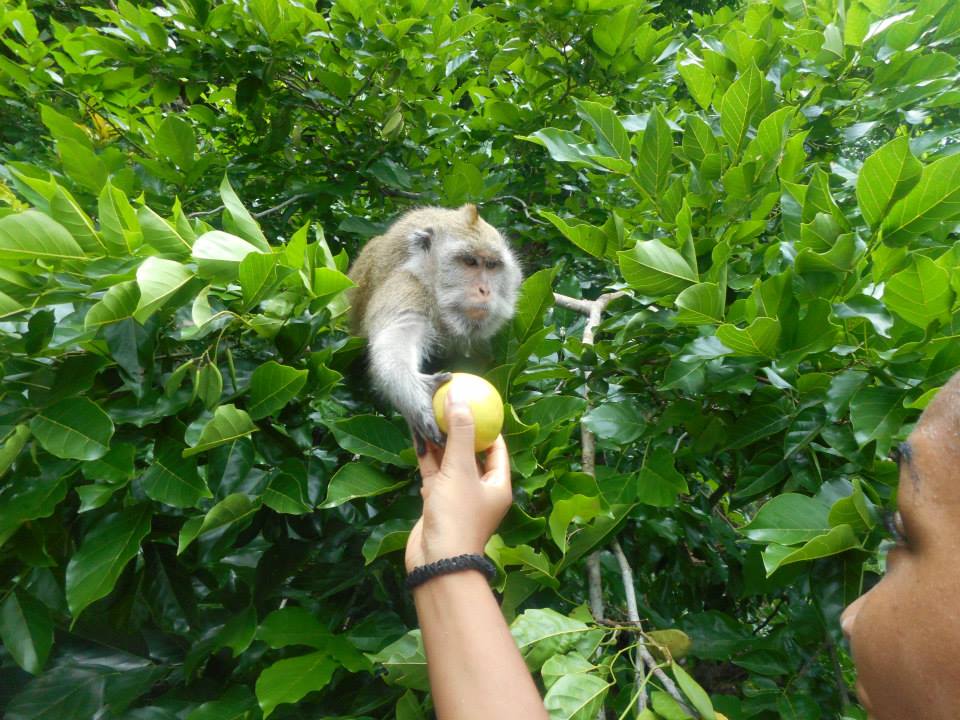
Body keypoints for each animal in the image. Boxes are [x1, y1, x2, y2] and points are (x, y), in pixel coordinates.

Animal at [348, 204, 520, 450]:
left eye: (491, 265)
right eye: (469, 262)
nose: (485, 290)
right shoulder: (407, 287)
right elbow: (395, 340)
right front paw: (417, 393)